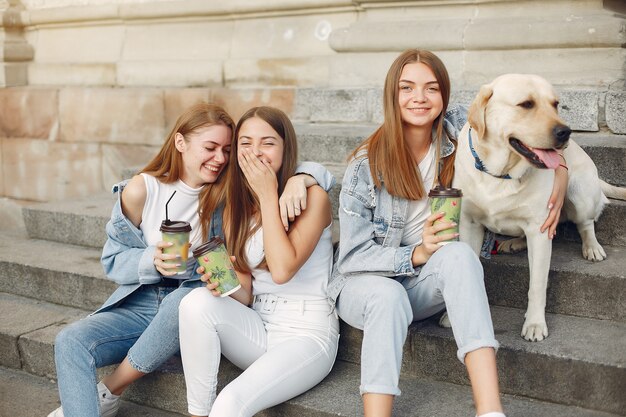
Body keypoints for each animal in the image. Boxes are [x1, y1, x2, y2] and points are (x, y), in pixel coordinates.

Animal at [450, 74, 624, 342]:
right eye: (526, 104)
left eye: (556, 104)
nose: (565, 132)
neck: (501, 174)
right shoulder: (470, 223)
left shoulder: (539, 231)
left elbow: (537, 284)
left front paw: (534, 324)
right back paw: (514, 243)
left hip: (579, 194)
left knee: (586, 224)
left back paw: (592, 247)